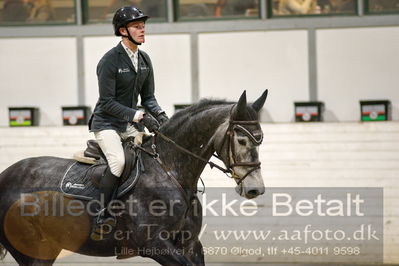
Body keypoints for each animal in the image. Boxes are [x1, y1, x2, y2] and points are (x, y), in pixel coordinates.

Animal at [0, 90, 268, 264]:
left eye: (260, 139)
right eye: (241, 140)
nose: (255, 189)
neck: (169, 170)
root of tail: (5, 176)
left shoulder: (191, 244)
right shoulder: (154, 245)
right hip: (31, 250)